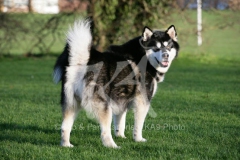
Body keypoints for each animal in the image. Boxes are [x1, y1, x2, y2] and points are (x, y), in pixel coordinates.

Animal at [53, 18, 179, 148]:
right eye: (156, 48)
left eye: (169, 46)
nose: (166, 55)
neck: (144, 57)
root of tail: (83, 61)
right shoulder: (142, 101)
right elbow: (138, 125)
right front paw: (138, 139)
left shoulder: (121, 100)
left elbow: (120, 121)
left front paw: (121, 136)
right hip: (104, 106)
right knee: (104, 132)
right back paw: (113, 146)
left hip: (72, 104)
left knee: (64, 127)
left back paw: (66, 145)